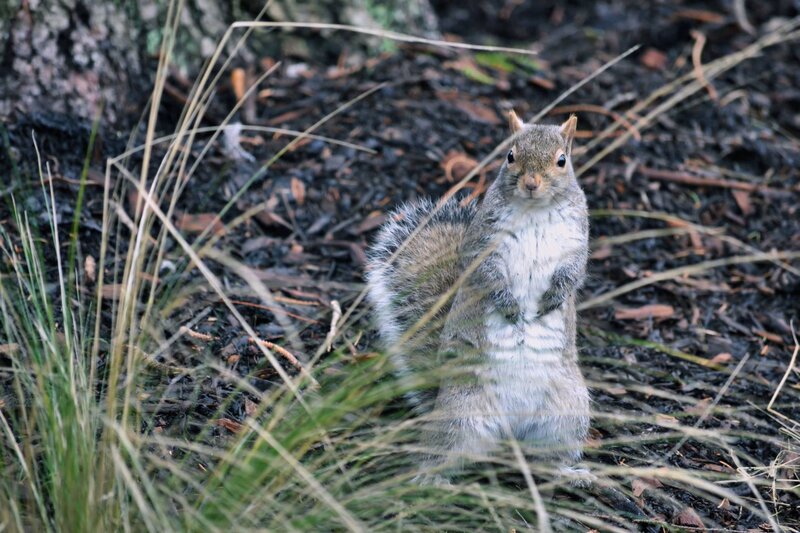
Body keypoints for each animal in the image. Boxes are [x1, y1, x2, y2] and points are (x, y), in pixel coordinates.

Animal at [366, 110, 591, 484]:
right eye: (510, 155)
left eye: (562, 160)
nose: (531, 183)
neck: (534, 211)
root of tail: (510, 432)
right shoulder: (483, 245)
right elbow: (488, 276)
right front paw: (510, 307)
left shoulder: (577, 242)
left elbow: (573, 272)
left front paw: (553, 298)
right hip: (462, 413)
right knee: (440, 451)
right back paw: (432, 480)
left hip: (566, 413)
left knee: (546, 457)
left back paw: (568, 472)